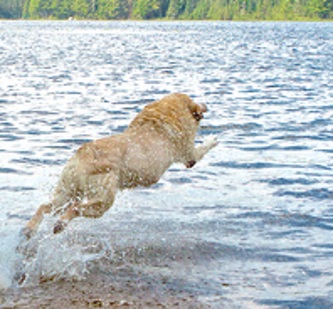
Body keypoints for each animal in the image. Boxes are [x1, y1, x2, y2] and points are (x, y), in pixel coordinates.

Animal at [22, 92, 217, 237]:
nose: (206, 104)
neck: (164, 113)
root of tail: (82, 156)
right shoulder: (189, 156)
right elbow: (201, 150)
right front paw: (213, 139)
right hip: (102, 200)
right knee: (74, 208)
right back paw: (60, 224)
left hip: (65, 193)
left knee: (45, 206)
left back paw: (30, 228)